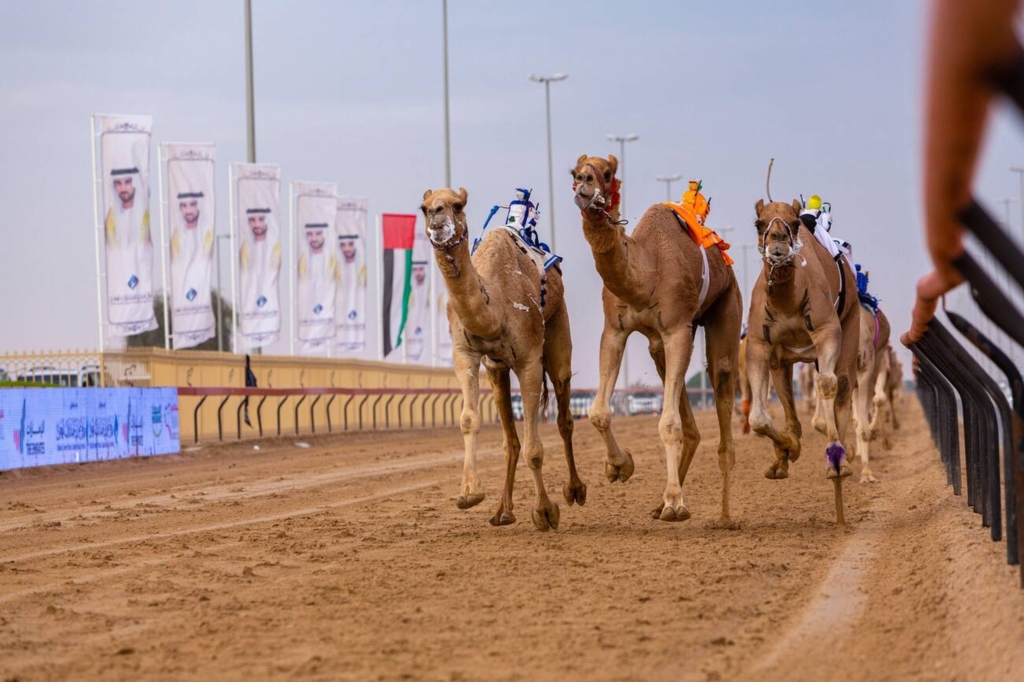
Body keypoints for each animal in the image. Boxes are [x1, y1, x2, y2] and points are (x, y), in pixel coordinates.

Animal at [420, 187, 586, 531]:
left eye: (457, 205)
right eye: (423, 207)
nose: (436, 216)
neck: (495, 303)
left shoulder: (529, 360)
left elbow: (535, 449)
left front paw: (545, 512)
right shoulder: (465, 355)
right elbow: (468, 419)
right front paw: (469, 494)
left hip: (558, 330)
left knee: (564, 416)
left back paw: (577, 489)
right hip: (496, 369)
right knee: (511, 439)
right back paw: (502, 511)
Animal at [571, 154, 743, 523]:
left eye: (607, 173)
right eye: (575, 172)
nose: (583, 184)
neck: (645, 274)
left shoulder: (677, 329)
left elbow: (668, 424)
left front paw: (676, 503)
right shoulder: (615, 330)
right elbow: (598, 411)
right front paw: (620, 466)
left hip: (726, 307)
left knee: (722, 391)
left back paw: (723, 516)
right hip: (659, 347)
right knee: (691, 426)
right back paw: (658, 504)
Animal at [745, 199, 860, 510]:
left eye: (795, 223)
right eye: (759, 223)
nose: (778, 240)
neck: (789, 301)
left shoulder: (827, 330)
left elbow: (827, 384)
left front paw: (836, 460)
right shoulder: (759, 344)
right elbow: (758, 419)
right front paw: (788, 451)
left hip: (851, 319)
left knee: (843, 385)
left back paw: (842, 460)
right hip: (783, 358)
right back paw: (783, 459)